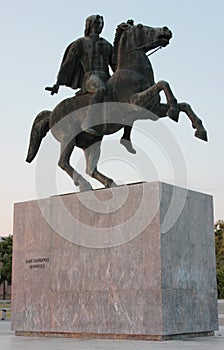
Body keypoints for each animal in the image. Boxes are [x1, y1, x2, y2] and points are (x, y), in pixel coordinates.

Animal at [26, 22, 208, 191]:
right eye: (140, 26)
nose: (166, 30)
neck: (133, 72)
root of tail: (51, 114)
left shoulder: (152, 110)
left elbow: (184, 104)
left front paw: (198, 129)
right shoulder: (136, 103)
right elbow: (163, 84)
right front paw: (174, 111)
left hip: (92, 142)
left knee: (90, 168)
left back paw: (111, 183)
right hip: (68, 137)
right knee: (63, 162)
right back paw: (84, 185)